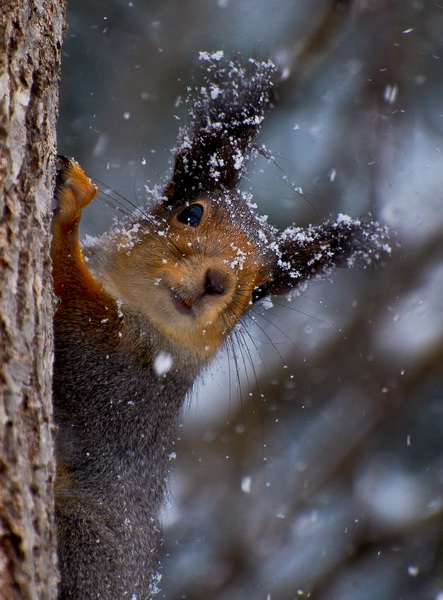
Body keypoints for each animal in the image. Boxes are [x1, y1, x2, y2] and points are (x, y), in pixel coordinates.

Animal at [52, 55, 390, 596]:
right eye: (190, 212)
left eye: (260, 291)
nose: (218, 281)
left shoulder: (123, 380)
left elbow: (74, 318)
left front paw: (72, 203)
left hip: (82, 544)